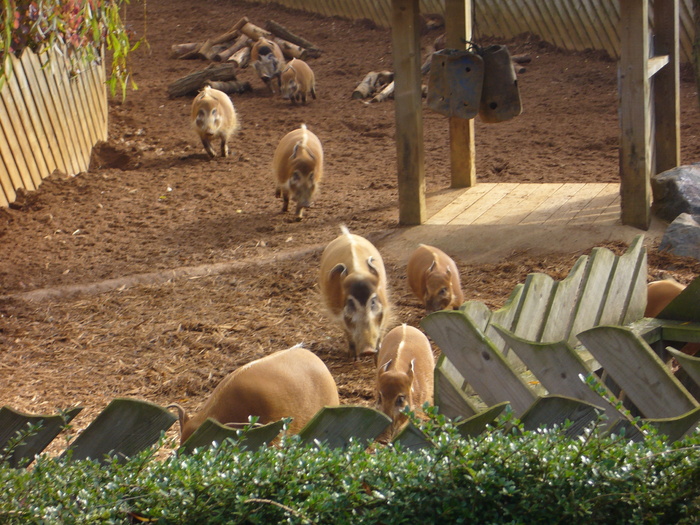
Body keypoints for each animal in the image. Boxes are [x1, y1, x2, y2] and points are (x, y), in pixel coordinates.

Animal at [320, 225, 392, 360]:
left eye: (373, 301)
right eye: (351, 303)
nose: (368, 351)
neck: (358, 274)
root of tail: (346, 234)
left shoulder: (385, 306)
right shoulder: (339, 312)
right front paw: (354, 357)